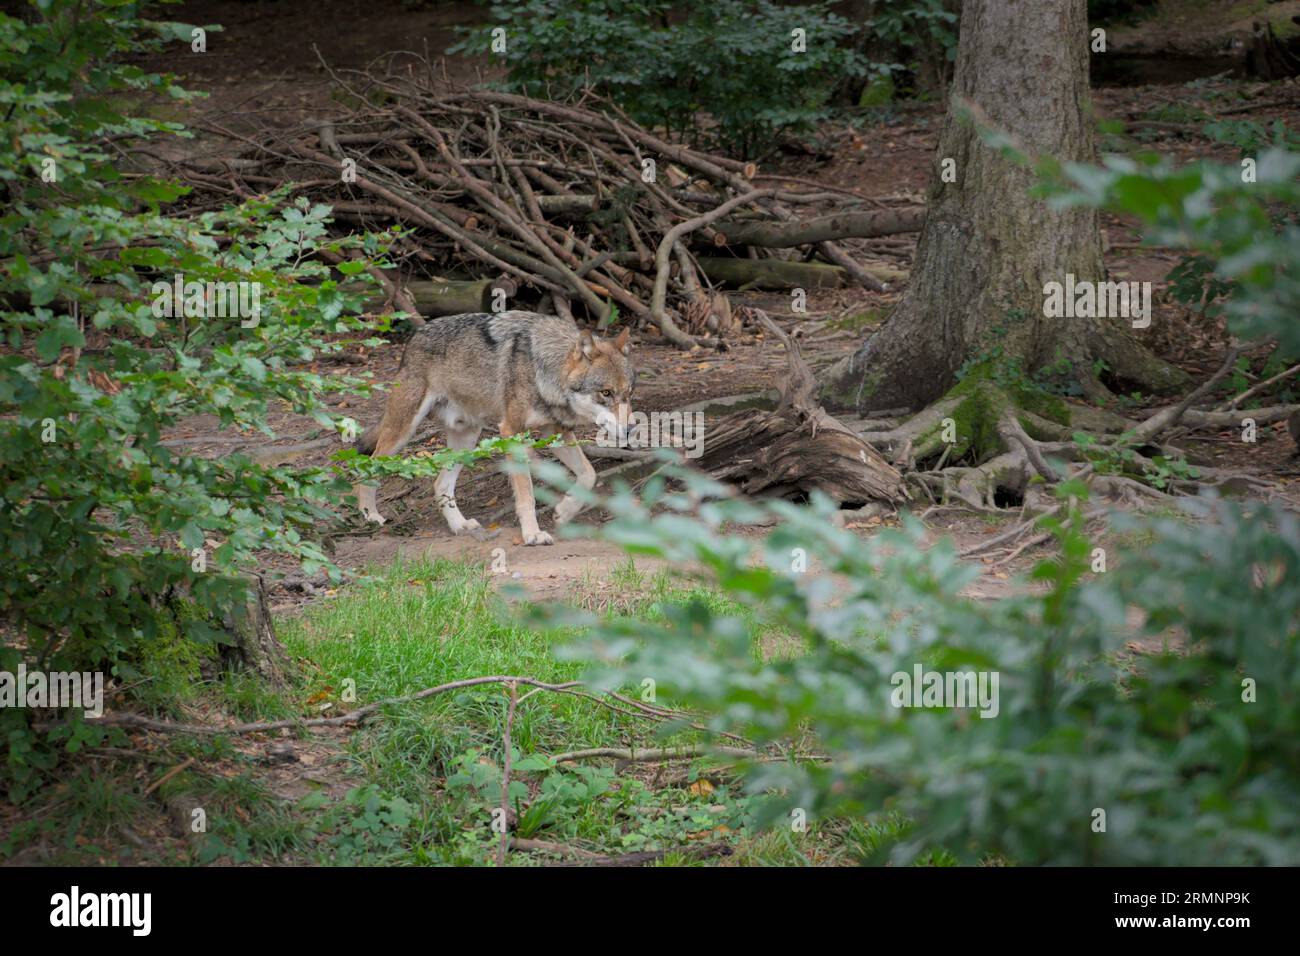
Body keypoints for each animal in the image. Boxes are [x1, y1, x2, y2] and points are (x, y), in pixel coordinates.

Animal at [353, 311, 635, 545]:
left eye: (629, 394)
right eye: (606, 393)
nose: (631, 429)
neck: (543, 369)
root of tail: (414, 339)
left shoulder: (554, 432)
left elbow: (589, 474)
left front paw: (564, 512)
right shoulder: (511, 432)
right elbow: (527, 493)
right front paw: (532, 534)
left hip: (467, 439)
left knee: (440, 485)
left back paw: (460, 525)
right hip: (403, 432)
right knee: (367, 469)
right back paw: (371, 516)